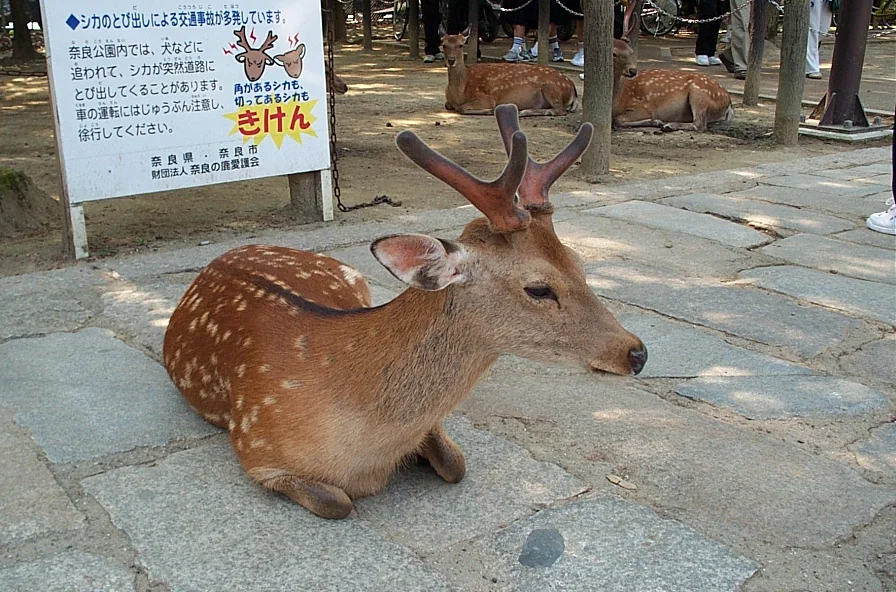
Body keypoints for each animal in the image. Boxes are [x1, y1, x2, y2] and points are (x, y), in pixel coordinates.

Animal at [162, 104, 647, 520]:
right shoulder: (257, 449)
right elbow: (338, 502)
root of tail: (228, 251)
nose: (637, 352)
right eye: (539, 288)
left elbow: (456, 463)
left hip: (352, 277)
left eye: (580, 263)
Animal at [441, 31, 578, 116]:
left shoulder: (486, 98)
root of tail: (573, 89)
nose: (451, 60)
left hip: (551, 87)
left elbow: (461, 108)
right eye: (444, 45)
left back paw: (526, 112)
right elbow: (447, 105)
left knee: (560, 110)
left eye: (461, 45)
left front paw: (490, 110)